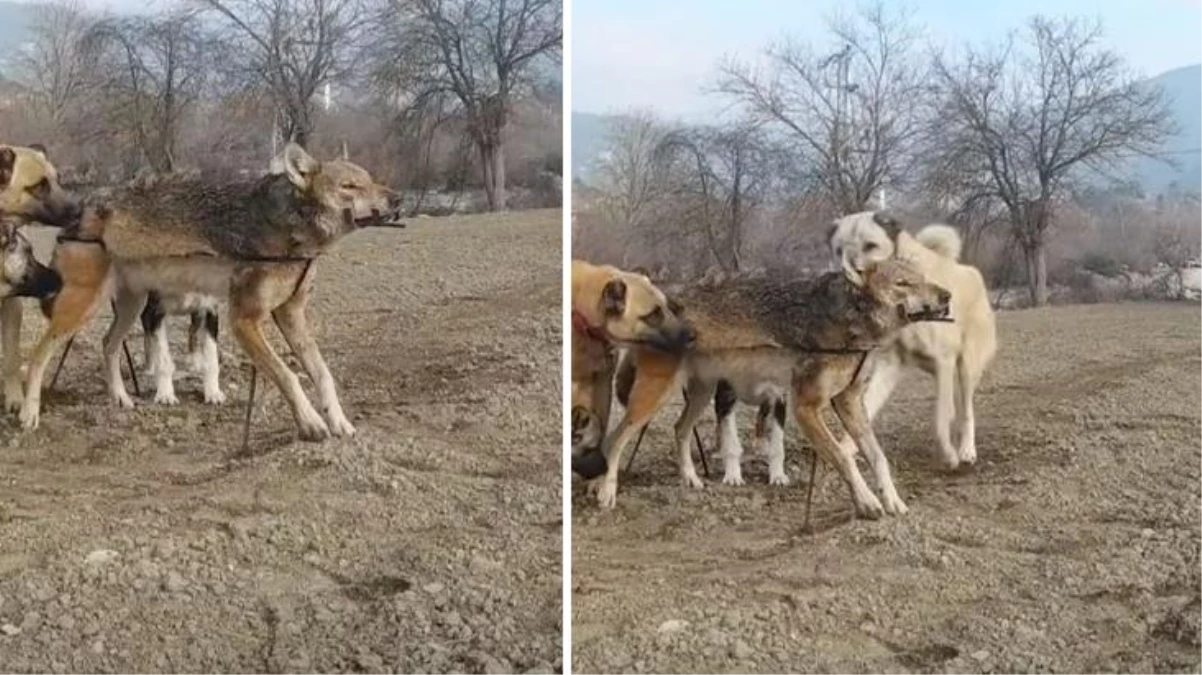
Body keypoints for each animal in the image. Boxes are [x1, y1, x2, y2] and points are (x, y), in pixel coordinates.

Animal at [18, 142, 401, 437]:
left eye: (369, 180)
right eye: (349, 186)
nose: (397, 199)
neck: (288, 229)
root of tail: (81, 208)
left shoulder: (290, 314)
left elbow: (322, 375)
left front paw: (340, 423)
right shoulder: (244, 320)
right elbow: (289, 376)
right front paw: (311, 425)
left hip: (130, 306)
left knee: (107, 345)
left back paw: (121, 399)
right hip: (82, 308)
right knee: (38, 355)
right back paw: (28, 414)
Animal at [591, 257, 947, 509]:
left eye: (922, 279)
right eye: (903, 284)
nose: (947, 294)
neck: (850, 321)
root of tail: (664, 301)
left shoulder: (849, 403)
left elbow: (877, 457)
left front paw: (893, 502)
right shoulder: (807, 408)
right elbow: (845, 457)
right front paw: (869, 503)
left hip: (700, 394)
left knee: (679, 429)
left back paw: (690, 479)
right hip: (655, 398)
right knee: (616, 438)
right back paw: (605, 491)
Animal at [831, 210, 1000, 468]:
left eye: (870, 246)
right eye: (838, 250)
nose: (848, 275)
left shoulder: (943, 361)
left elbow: (940, 419)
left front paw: (949, 456)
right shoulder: (888, 365)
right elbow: (865, 409)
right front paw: (846, 451)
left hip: (967, 366)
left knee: (966, 410)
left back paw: (966, 450)